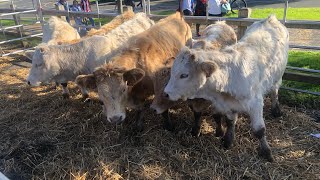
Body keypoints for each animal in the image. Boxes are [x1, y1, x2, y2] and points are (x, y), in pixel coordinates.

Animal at [164, 15, 288, 162]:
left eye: (184, 75)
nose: (166, 93)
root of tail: (270, 18)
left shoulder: (256, 103)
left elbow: (259, 130)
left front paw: (267, 152)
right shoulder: (228, 105)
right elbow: (230, 122)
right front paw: (228, 141)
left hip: (278, 77)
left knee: (275, 92)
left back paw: (276, 110)